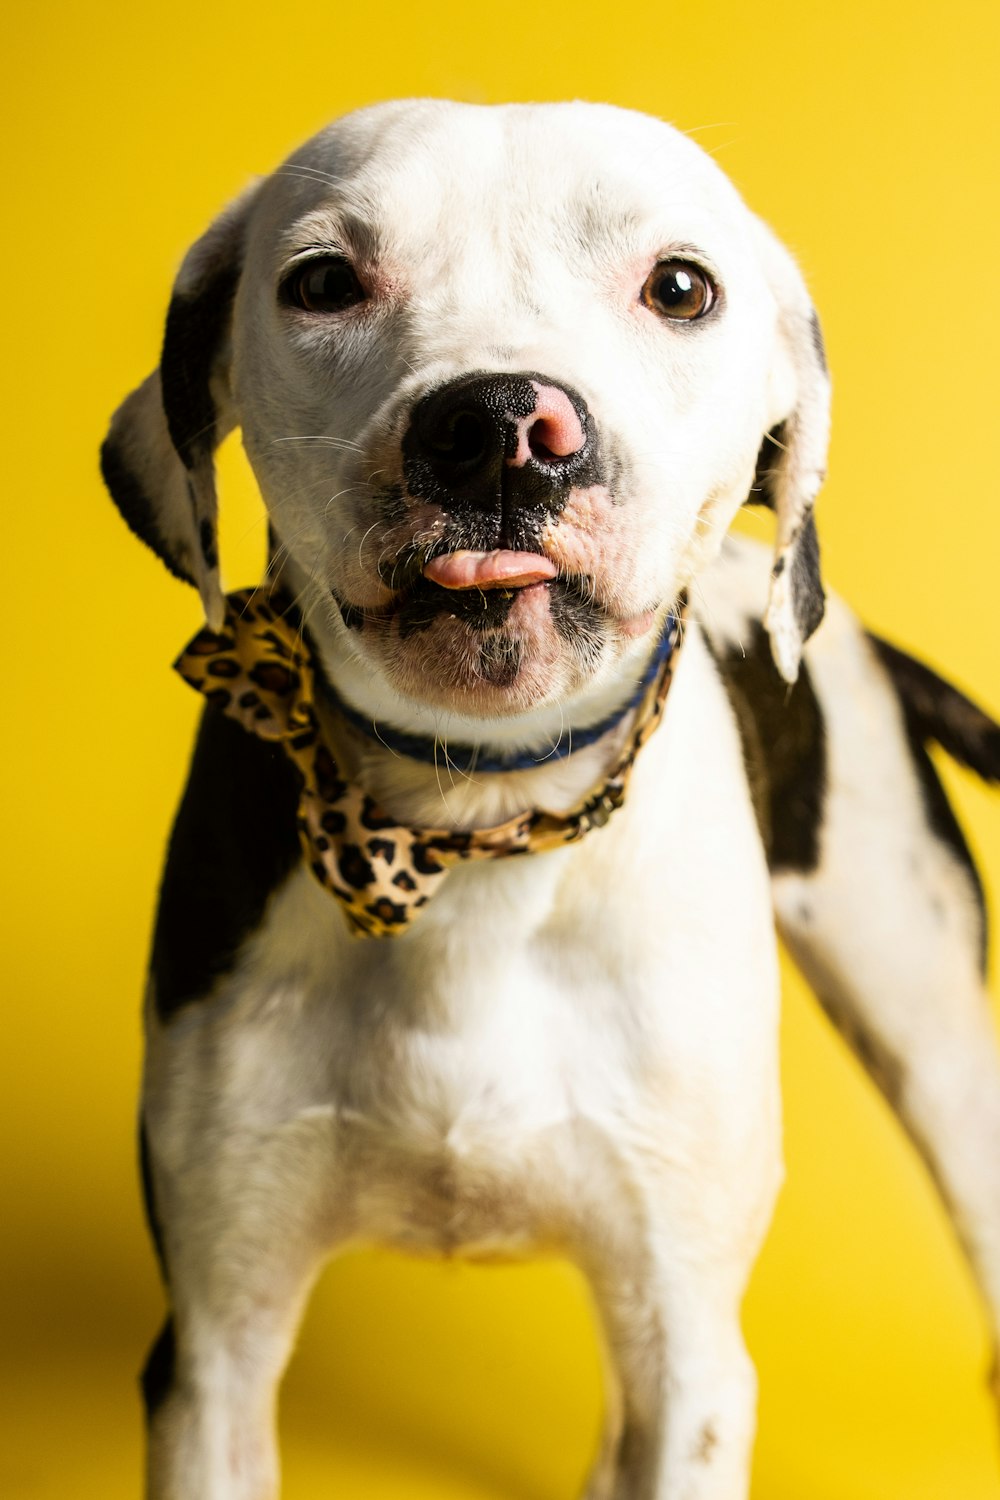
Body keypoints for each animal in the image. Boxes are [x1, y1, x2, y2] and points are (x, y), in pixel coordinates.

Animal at [99, 99, 1000, 1494]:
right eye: (322, 282)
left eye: (679, 287)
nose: (496, 427)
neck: (469, 837)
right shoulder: (210, 1354)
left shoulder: (691, 1355)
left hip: (931, 1038)